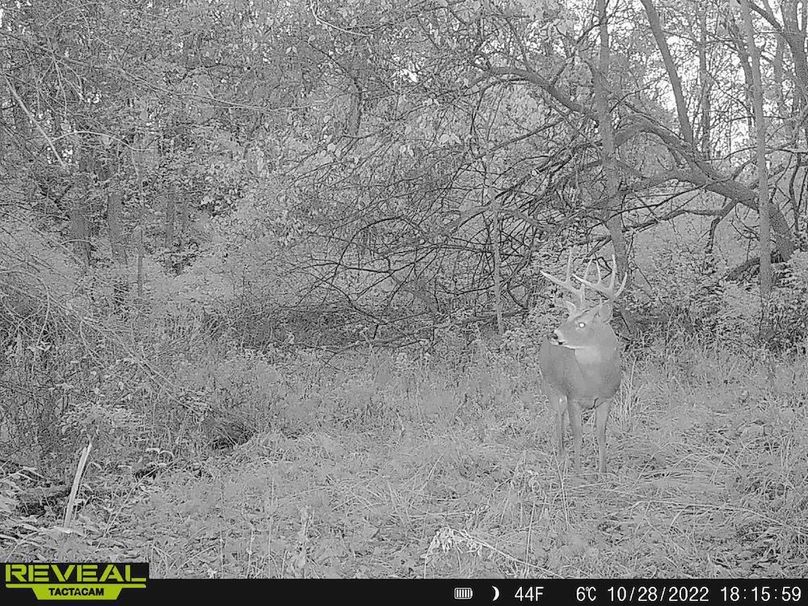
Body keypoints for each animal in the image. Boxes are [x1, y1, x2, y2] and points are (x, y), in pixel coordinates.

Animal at [539, 252, 627, 477]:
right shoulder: (573, 397)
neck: (594, 380)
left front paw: (602, 472)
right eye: (569, 318)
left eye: (582, 324)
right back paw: (562, 456)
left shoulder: (607, 399)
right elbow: (577, 434)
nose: (554, 334)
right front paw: (578, 473)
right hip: (550, 385)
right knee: (558, 417)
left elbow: (600, 433)